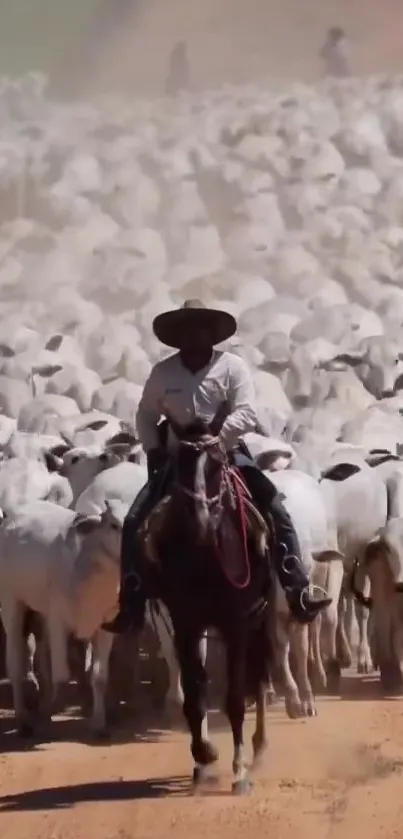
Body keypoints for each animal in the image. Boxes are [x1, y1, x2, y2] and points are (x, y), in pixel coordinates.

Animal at [129, 424, 274, 796]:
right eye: (179, 464)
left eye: (216, 464)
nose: (201, 523)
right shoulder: (185, 624)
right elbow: (195, 694)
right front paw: (204, 756)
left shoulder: (237, 622)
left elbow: (235, 698)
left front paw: (239, 772)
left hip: (261, 618)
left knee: (259, 676)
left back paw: (260, 747)